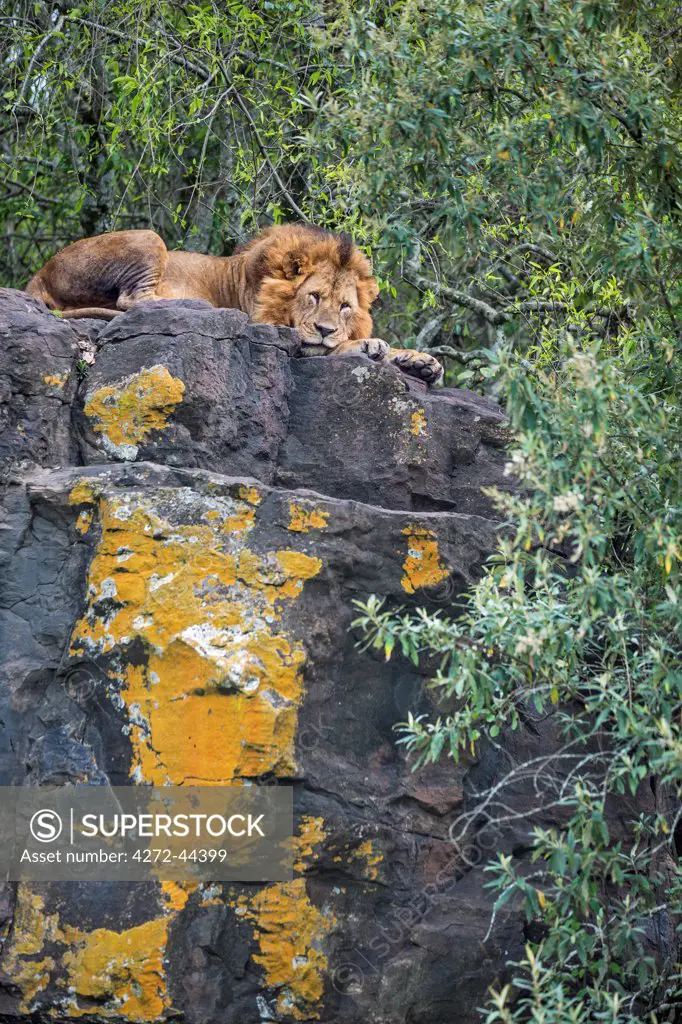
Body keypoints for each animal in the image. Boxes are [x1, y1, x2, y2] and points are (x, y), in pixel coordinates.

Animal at [25, 224, 440, 385]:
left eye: (344, 307)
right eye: (314, 297)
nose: (325, 328)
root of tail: (39, 274)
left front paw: (420, 362)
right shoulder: (276, 331)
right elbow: (330, 349)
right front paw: (367, 346)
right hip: (149, 237)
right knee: (135, 299)